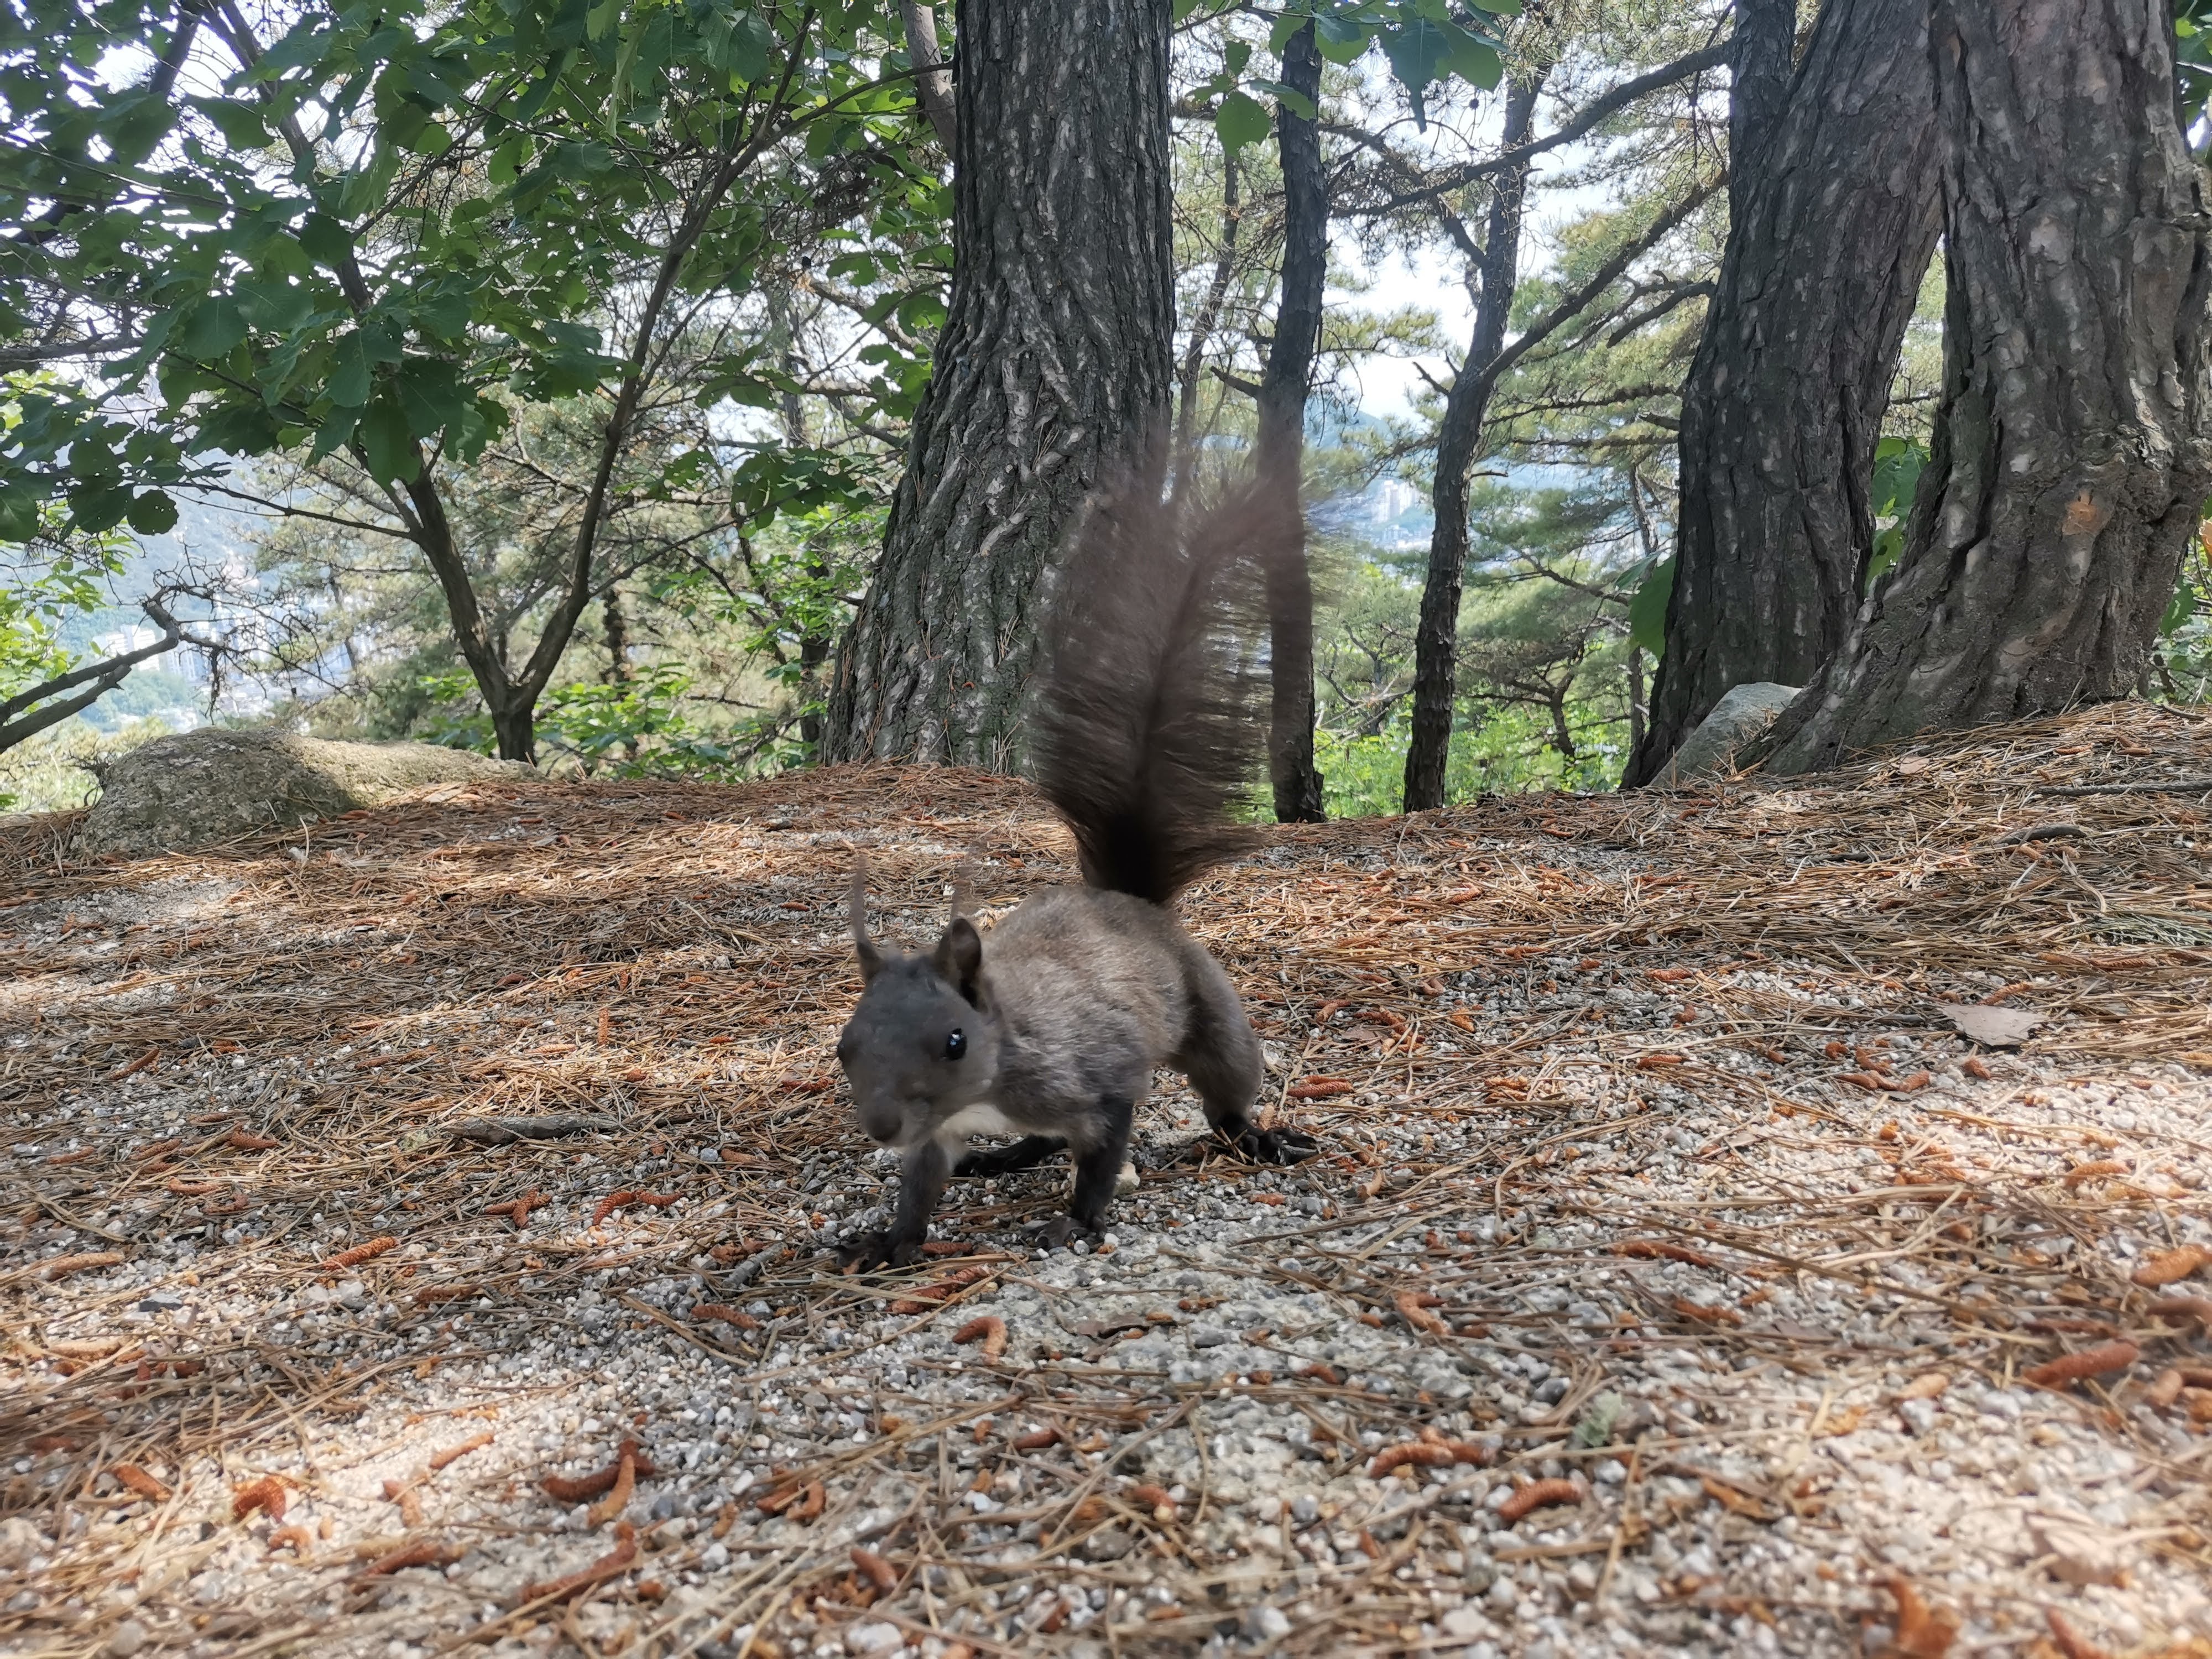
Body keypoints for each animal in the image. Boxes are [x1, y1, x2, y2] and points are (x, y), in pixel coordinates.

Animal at [832, 480, 1310, 1274]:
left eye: (955, 1041)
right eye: (844, 1046)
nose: (882, 1125)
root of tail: (1129, 903)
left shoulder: (1099, 1083)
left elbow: (1103, 1155)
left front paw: (1078, 1223)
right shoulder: (936, 1134)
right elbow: (920, 1186)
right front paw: (892, 1239)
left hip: (1213, 1015)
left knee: (1225, 1092)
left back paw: (1255, 1135)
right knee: (1042, 1141)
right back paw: (1006, 1156)